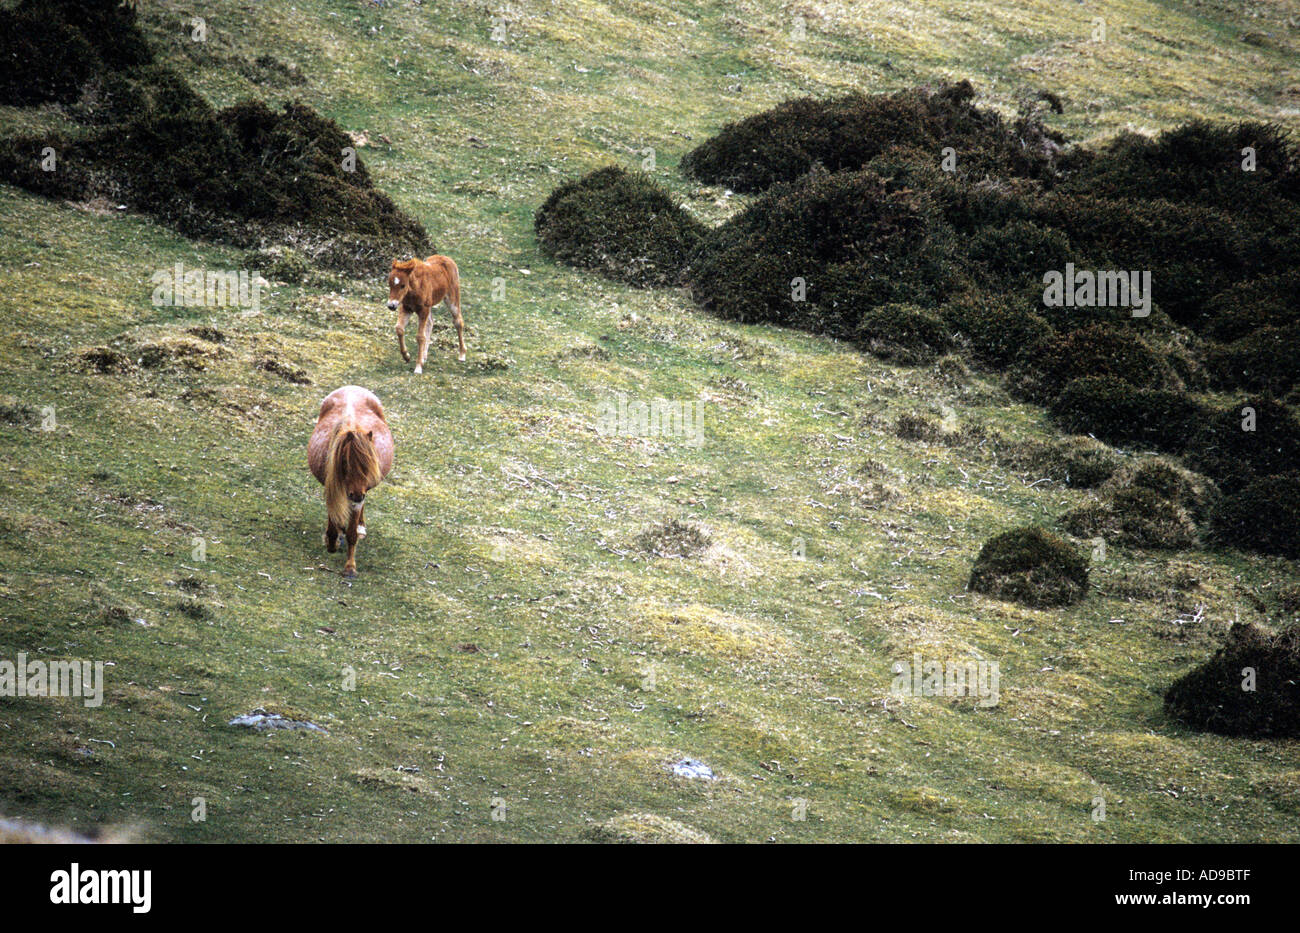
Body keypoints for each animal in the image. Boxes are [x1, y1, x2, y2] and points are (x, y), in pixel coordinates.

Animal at [307, 386, 394, 578]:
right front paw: (332, 541)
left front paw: (350, 567)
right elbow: (333, 524)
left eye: (369, 465)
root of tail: (352, 388)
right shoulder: (333, 490)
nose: (356, 495)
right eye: (345, 463)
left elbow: (352, 534)